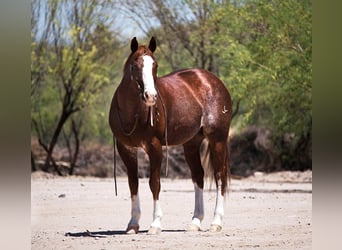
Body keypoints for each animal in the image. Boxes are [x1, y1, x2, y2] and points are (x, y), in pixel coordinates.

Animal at [109, 36, 232, 234]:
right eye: (134, 66)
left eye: (155, 65)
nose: (150, 96)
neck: (132, 111)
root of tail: (212, 80)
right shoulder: (126, 149)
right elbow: (133, 184)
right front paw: (133, 224)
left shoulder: (154, 146)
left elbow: (155, 183)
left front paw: (155, 224)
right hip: (191, 144)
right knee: (198, 176)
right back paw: (195, 222)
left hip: (217, 140)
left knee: (220, 176)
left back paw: (216, 222)